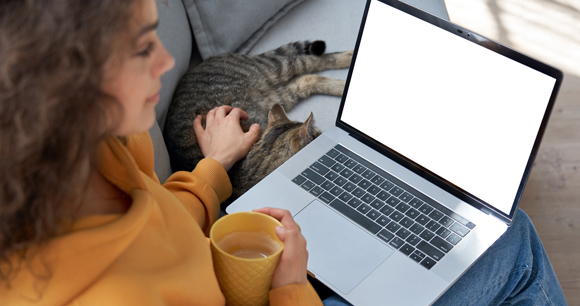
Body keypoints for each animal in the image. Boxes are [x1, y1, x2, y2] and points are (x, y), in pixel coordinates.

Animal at [164, 40, 354, 202]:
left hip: (274, 70)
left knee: (309, 62)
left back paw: (350, 60)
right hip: (282, 91)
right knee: (308, 77)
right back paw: (344, 84)